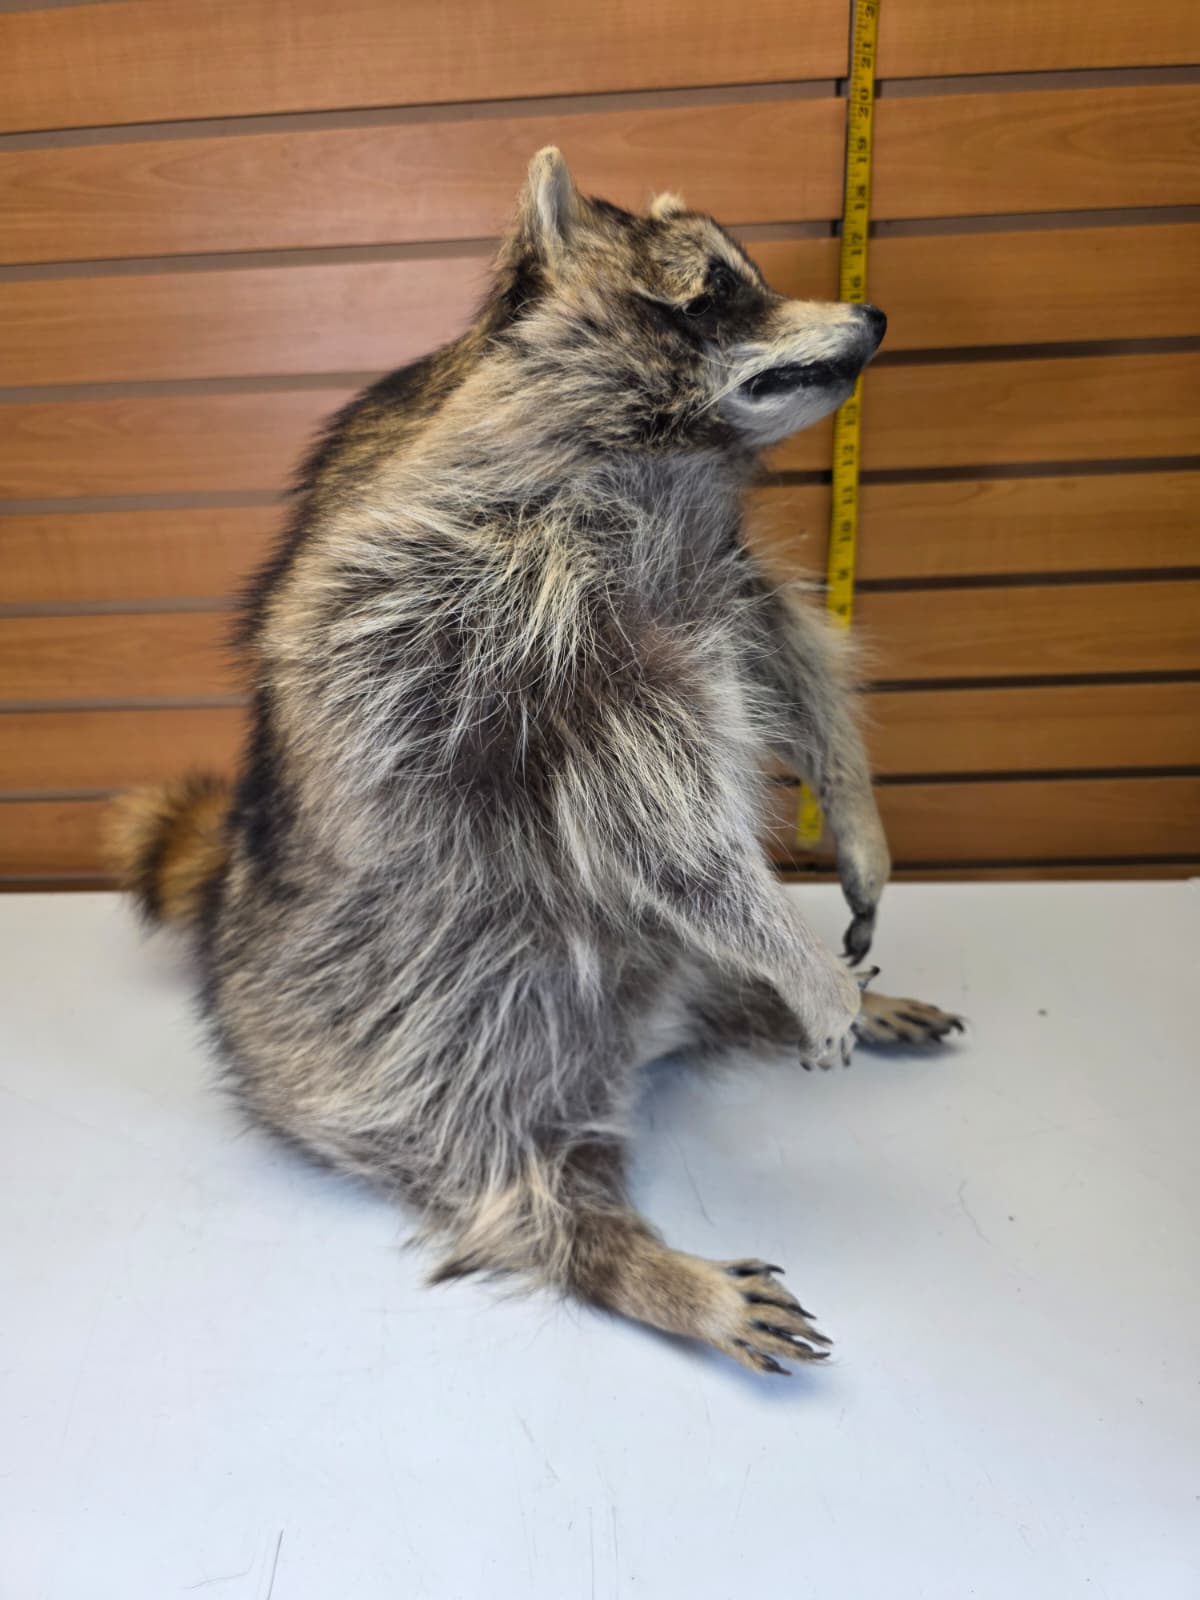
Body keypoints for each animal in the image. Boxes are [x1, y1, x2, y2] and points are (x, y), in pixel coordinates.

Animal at [110, 150, 962, 1376]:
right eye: (716, 291)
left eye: (749, 277)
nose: (878, 315)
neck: (676, 460)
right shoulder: (502, 627)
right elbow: (659, 832)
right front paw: (790, 950)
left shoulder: (717, 573)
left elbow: (791, 661)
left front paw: (855, 817)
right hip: (420, 1034)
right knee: (512, 1167)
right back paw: (643, 1258)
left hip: (614, 975)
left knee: (696, 973)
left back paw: (768, 1002)